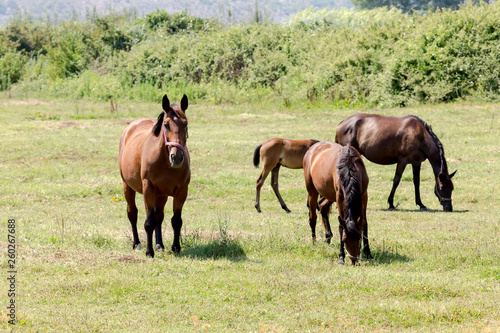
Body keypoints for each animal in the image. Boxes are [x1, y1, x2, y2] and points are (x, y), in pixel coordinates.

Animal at [118, 93, 190, 256]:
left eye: (185, 124)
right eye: (166, 124)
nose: (177, 157)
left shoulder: (181, 191)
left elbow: (176, 221)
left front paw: (175, 247)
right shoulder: (148, 189)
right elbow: (149, 222)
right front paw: (149, 251)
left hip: (161, 194)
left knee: (159, 216)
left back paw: (159, 244)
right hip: (128, 186)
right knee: (133, 213)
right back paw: (137, 243)